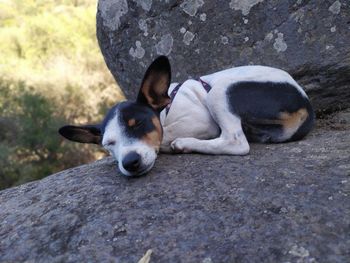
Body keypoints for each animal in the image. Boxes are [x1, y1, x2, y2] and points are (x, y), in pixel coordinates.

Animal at [58, 56, 316, 177]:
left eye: (138, 123)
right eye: (108, 144)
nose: (130, 162)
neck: (166, 109)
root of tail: (305, 103)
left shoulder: (203, 123)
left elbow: (166, 137)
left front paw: (170, 143)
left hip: (220, 91)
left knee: (236, 142)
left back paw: (184, 144)